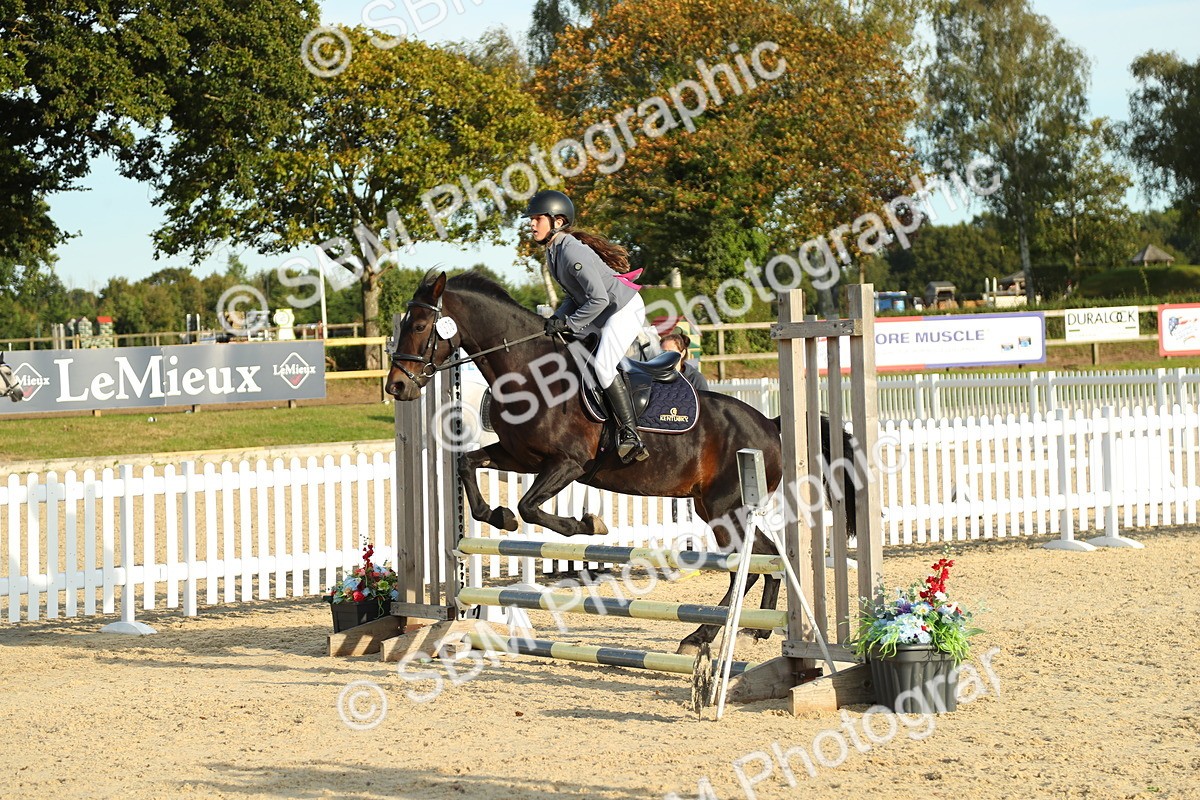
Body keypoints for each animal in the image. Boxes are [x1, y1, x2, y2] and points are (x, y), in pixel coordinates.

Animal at [385, 269, 855, 654]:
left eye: (422, 326)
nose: (396, 387)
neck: (528, 369)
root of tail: (771, 424)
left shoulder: (568, 464)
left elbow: (531, 507)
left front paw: (587, 524)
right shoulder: (519, 456)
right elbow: (468, 465)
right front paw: (496, 516)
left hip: (728, 508)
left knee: (752, 564)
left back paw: (700, 635)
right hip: (715, 507)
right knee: (767, 560)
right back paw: (758, 628)